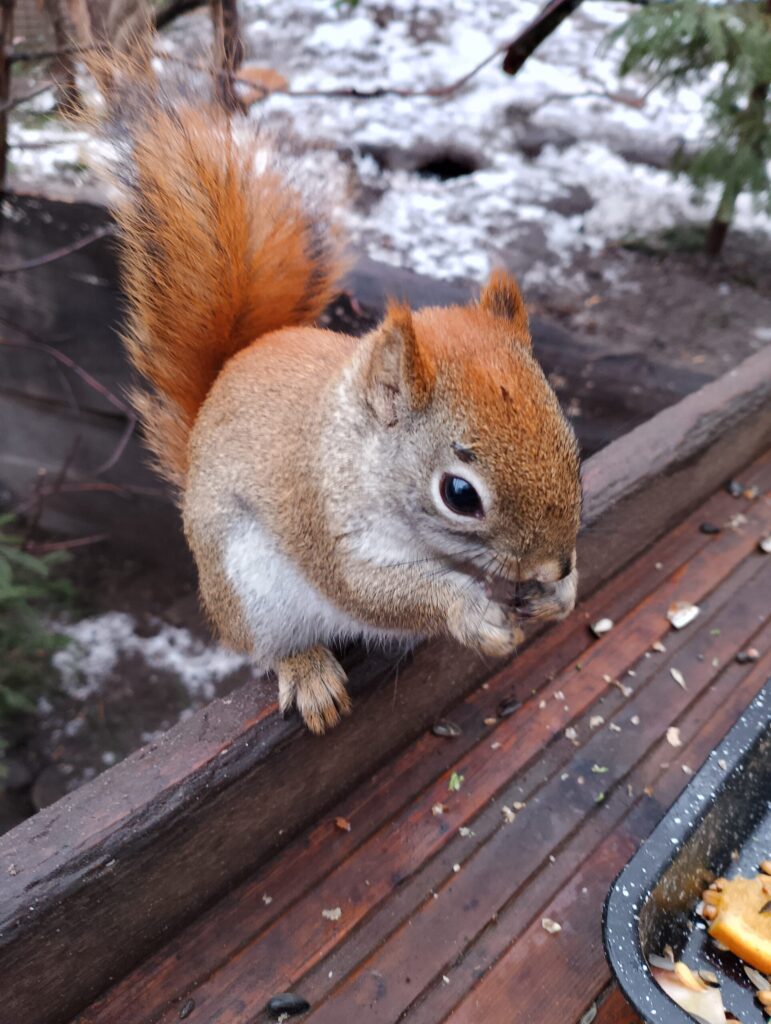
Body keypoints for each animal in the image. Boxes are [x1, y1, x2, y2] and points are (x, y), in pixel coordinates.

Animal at [90, 58, 581, 737]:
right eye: (460, 495)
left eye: (573, 444)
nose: (555, 565)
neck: (357, 446)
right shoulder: (320, 517)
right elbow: (367, 590)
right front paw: (469, 613)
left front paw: (562, 595)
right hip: (249, 586)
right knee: (271, 644)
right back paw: (308, 673)